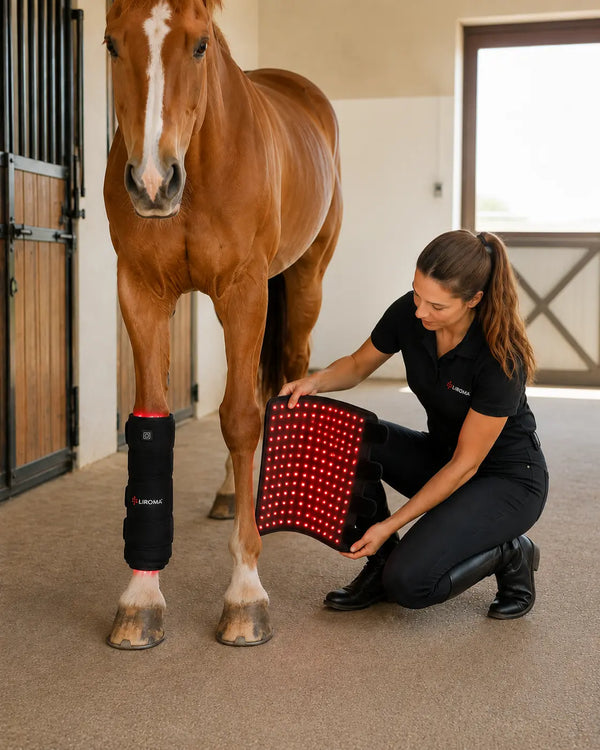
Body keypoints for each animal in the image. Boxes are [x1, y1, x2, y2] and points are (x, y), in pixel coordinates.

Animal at [103, 0, 342, 648]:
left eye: (201, 44)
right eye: (110, 43)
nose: (152, 182)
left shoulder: (243, 290)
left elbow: (239, 419)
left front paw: (245, 594)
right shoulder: (141, 292)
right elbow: (153, 420)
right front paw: (140, 598)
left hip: (304, 283)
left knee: (283, 382)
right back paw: (234, 494)